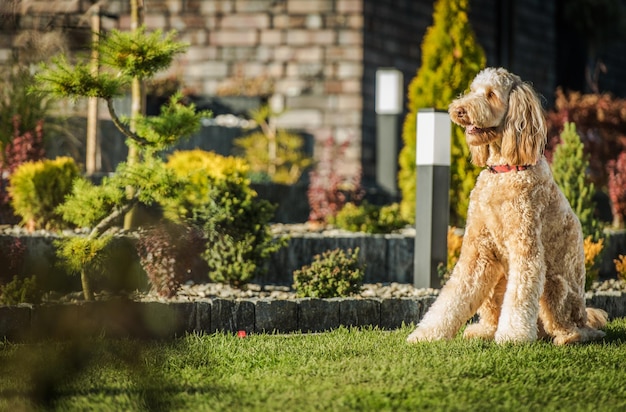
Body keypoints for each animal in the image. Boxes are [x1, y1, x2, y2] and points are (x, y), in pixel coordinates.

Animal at [404, 67, 604, 344]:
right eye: (473, 90)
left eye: (491, 95)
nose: (459, 110)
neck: (504, 170)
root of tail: (585, 315)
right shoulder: (477, 252)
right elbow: (453, 296)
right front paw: (427, 333)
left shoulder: (526, 251)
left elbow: (520, 296)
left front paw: (512, 336)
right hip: (496, 275)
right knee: (492, 311)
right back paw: (484, 330)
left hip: (556, 286)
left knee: (573, 327)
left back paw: (566, 336)